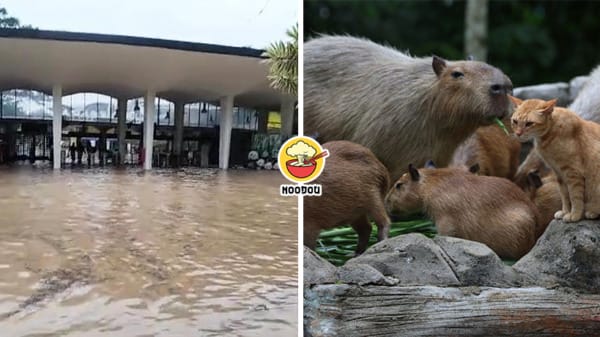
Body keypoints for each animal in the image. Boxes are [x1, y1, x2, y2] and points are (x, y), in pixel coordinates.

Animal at [508, 94, 600, 222]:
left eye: (529, 123)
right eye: (515, 121)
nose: (518, 134)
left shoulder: (573, 172)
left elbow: (575, 196)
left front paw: (575, 215)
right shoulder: (558, 172)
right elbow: (564, 195)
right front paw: (565, 212)